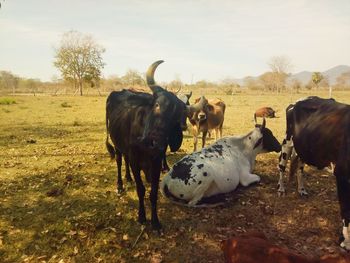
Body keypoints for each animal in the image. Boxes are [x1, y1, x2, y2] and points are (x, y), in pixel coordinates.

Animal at [276, 96, 350, 252]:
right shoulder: (342, 175)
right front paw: (346, 242)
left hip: (303, 148)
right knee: (282, 165)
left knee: (299, 168)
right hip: (287, 141)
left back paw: (302, 190)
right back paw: (281, 188)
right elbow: (346, 210)